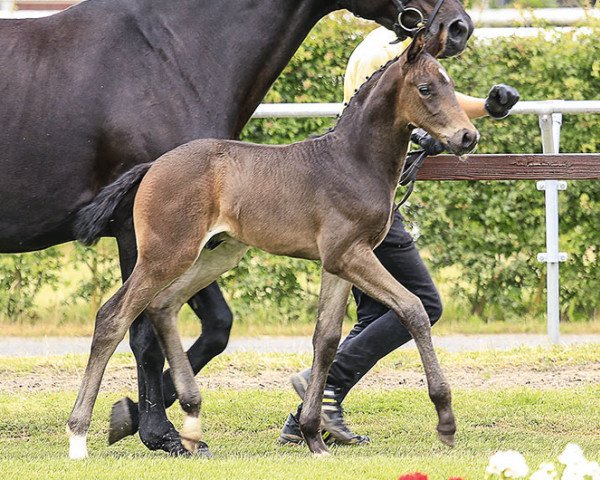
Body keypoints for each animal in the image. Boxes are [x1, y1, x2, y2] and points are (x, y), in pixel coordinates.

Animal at [0, 0, 472, 454]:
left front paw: (313, 435)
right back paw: (82, 434)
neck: (350, 159)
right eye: (426, 88)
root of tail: (153, 166)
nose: (468, 137)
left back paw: (187, 421)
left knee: (162, 307)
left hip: (214, 253)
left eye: (451, 85)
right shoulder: (349, 255)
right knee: (114, 317)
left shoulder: (338, 262)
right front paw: (445, 420)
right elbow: (413, 309)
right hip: (163, 254)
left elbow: (326, 339)